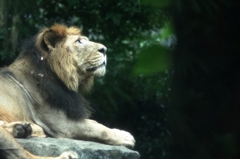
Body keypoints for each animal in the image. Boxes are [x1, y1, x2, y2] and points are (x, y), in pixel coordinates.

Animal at [0, 23, 135, 159]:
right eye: (79, 41)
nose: (105, 49)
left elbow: (95, 122)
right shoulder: (61, 123)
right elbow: (98, 129)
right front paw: (125, 136)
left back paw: (22, 128)